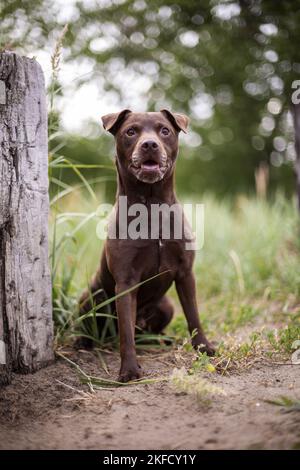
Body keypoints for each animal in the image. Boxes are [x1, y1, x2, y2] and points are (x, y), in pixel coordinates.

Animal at [79, 110, 214, 382]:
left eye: (165, 130)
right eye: (131, 131)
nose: (150, 144)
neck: (152, 206)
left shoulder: (185, 273)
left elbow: (194, 317)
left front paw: (204, 348)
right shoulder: (126, 281)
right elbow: (126, 334)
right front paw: (129, 370)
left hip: (166, 305)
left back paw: (162, 340)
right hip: (90, 297)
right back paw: (83, 343)